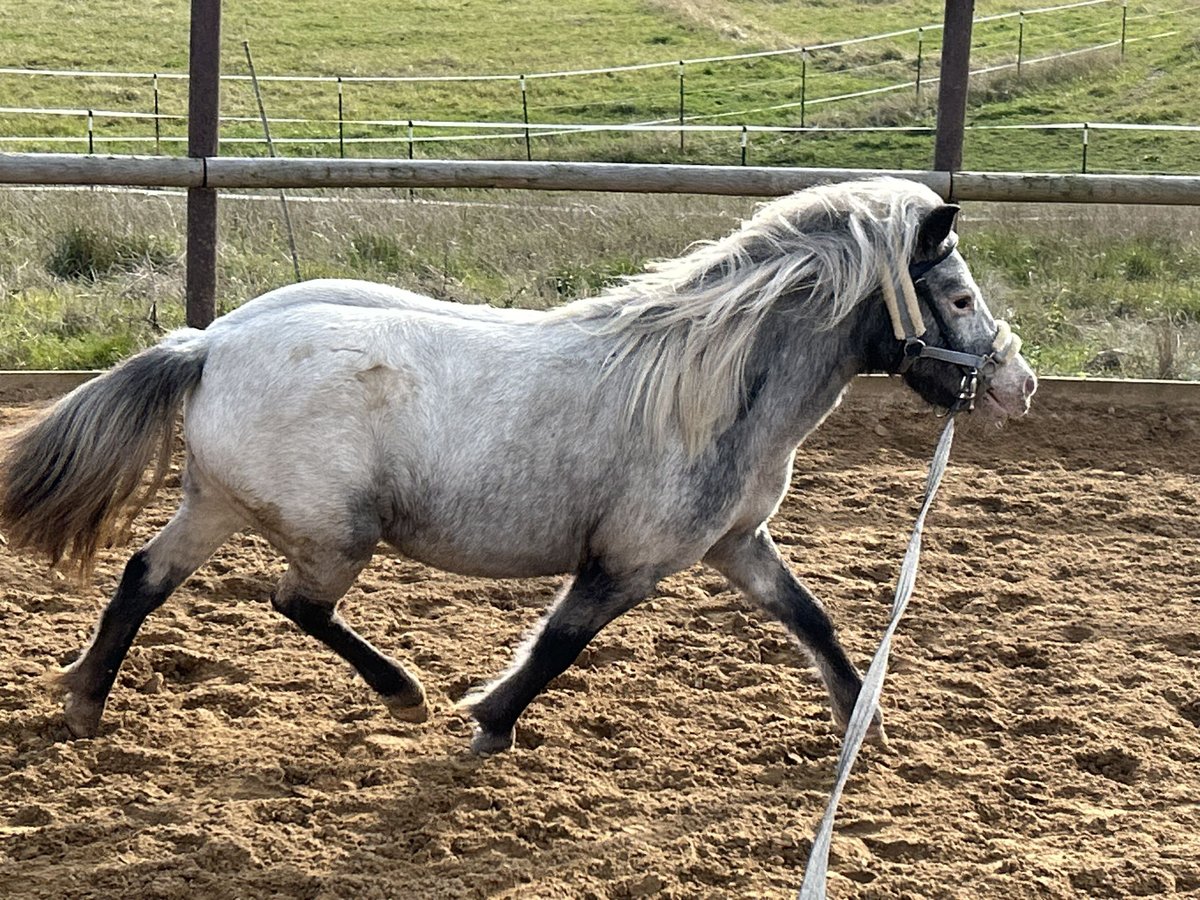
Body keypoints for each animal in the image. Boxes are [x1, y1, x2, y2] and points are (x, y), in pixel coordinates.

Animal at [0, 176, 1032, 753]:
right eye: (960, 295)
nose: (1017, 385)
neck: (708, 389)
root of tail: (211, 343)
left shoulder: (737, 543)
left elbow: (811, 618)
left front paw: (865, 724)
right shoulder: (629, 561)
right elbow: (559, 643)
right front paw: (488, 720)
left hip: (216, 505)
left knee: (144, 576)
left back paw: (84, 702)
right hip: (334, 534)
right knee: (295, 604)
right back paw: (406, 694)